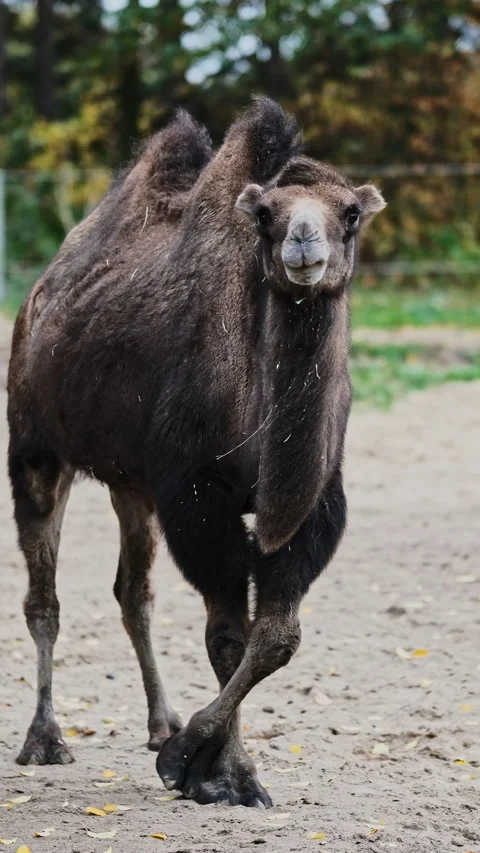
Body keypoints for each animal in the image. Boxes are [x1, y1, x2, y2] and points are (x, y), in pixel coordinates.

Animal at [7, 98, 386, 807]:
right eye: (266, 214)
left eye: (349, 212)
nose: (304, 241)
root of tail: (40, 291)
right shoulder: (196, 493)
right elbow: (228, 637)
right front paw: (216, 771)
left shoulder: (314, 504)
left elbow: (276, 638)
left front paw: (200, 757)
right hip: (35, 445)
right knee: (44, 599)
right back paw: (45, 740)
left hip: (131, 482)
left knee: (134, 593)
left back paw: (161, 722)